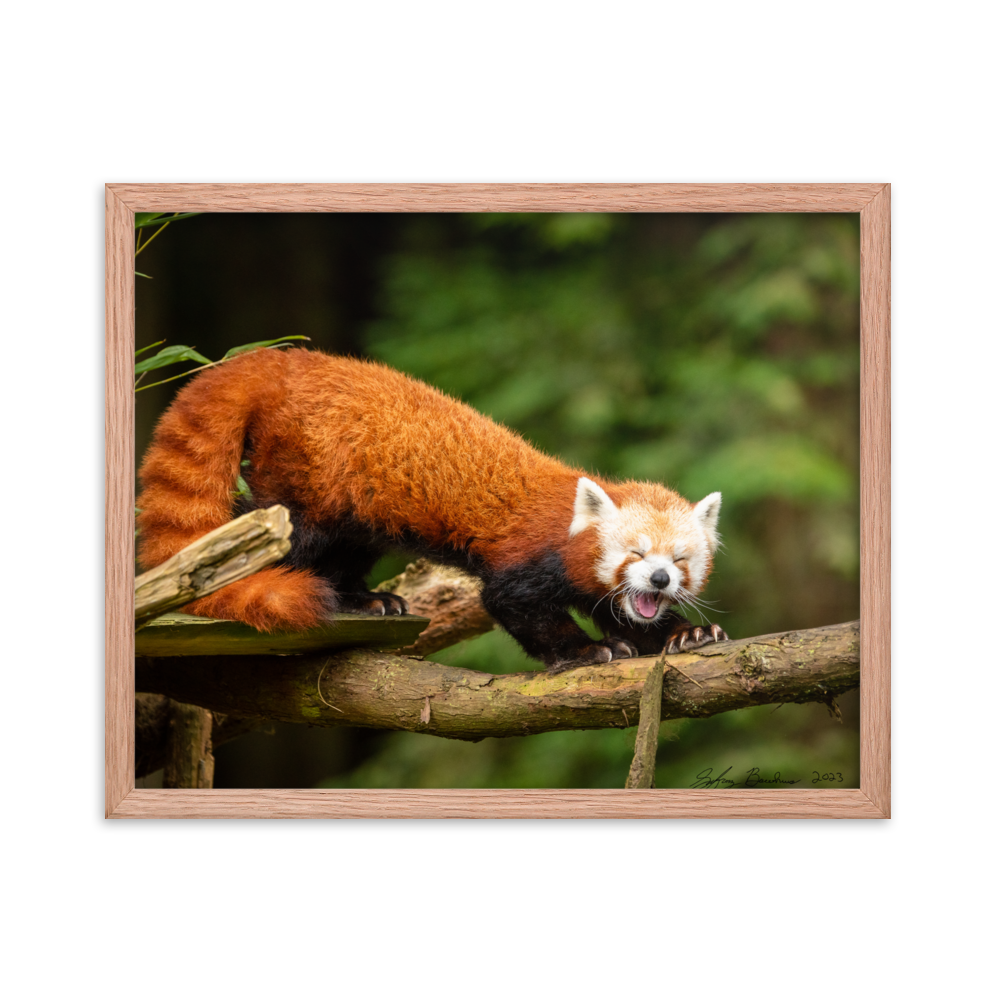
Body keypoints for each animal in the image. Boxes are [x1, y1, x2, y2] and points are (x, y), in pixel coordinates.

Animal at [139, 348, 728, 668]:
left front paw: (684, 634)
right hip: (307, 477)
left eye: (679, 561)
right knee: (281, 529)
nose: (658, 581)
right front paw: (585, 651)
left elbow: (621, 612)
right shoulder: (529, 557)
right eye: (636, 553)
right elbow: (512, 602)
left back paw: (366, 599)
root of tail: (287, 361)